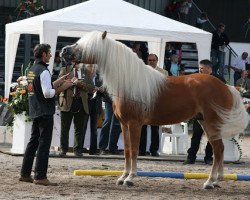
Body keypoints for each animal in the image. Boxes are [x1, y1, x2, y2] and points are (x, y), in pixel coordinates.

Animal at [61, 30, 250, 189]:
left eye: (85, 45)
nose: (63, 51)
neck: (129, 82)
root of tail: (226, 86)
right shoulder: (124, 125)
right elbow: (127, 151)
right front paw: (122, 177)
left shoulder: (135, 124)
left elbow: (135, 150)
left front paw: (130, 178)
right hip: (205, 123)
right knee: (220, 150)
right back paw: (216, 181)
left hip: (211, 124)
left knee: (218, 150)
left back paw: (210, 182)